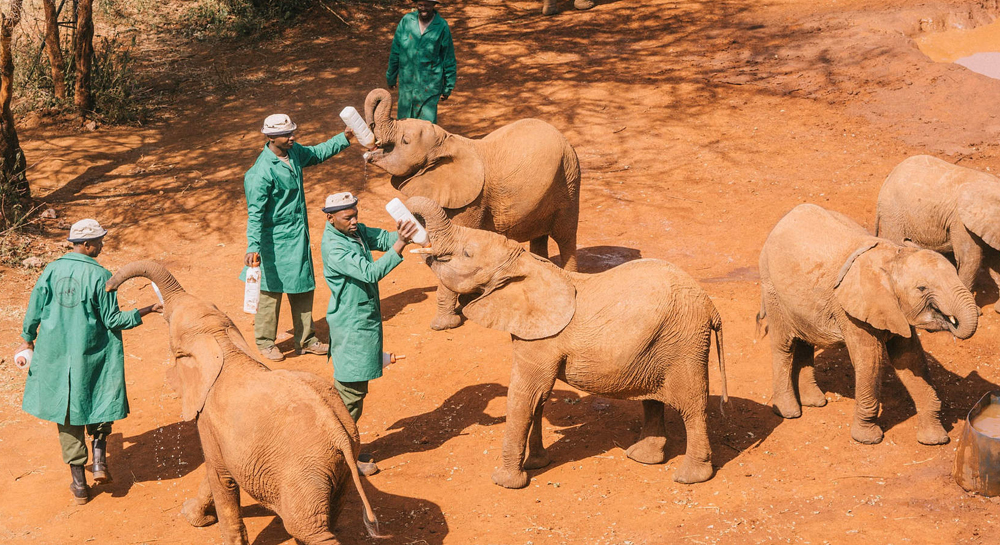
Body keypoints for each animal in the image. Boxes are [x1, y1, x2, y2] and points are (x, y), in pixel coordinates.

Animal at [106, 261, 378, 545]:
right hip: (339, 468)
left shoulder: (208, 420)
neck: (222, 342)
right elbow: (213, 472)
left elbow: (219, 478)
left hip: (305, 471)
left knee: (307, 528)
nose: (108, 287)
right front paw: (192, 515)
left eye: (170, 325)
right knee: (330, 514)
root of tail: (339, 433)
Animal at [363, 88, 581, 331]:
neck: (447, 141)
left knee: (565, 236)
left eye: (405, 140)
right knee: (540, 236)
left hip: (569, 178)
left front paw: (444, 325)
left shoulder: (474, 200)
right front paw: (465, 303)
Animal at [404, 196, 729, 487]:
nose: (407, 227)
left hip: (685, 341)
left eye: (468, 254)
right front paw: (537, 463)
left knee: (692, 406)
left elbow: (525, 395)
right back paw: (642, 457)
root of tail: (712, 307)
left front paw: (504, 481)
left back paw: (689, 477)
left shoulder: (542, 340)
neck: (525, 264)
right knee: (653, 399)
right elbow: (538, 398)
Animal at [757, 204, 979, 446]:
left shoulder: (893, 308)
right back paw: (789, 412)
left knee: (806, 340)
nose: (951, 321)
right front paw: (868, 439)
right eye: (922, 288)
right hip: (771, 287)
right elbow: (870, 360)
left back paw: (815, 402)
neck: (892, 258)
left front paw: (935, 440)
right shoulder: (851, 310)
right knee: (784, 346)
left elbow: (910, 359)